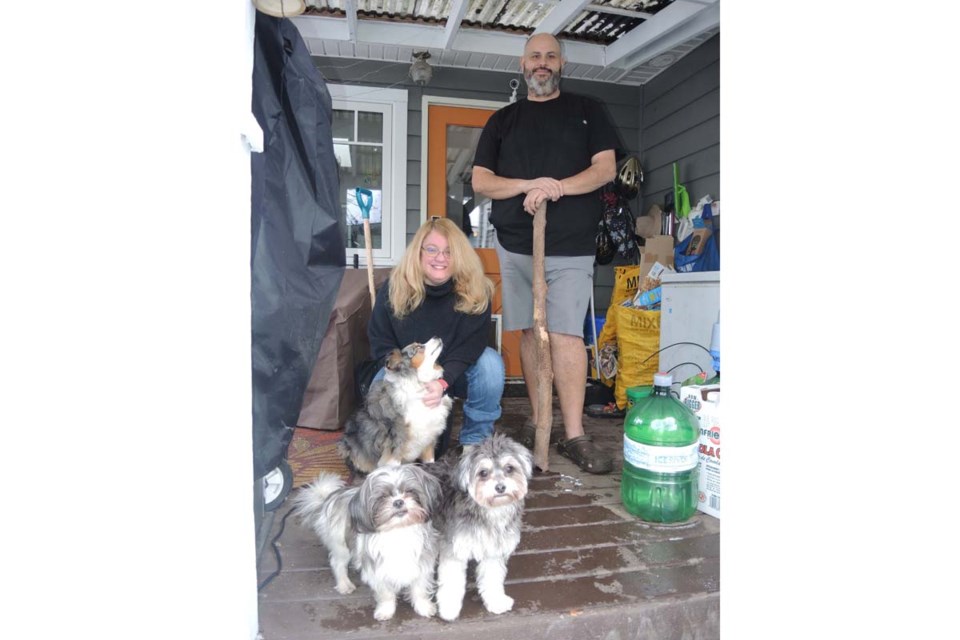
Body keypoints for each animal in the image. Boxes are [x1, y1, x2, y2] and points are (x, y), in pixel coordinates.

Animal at [290, 464, 444, 620]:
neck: (398, 530)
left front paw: (424, 607)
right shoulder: (377, 569)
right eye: (383, 497)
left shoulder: (422, 565)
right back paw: (344, 584)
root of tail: (331, 497)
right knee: (337, 563)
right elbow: (386, 594)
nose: (398, 502)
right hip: (341, 546)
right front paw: (385, 611)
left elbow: (419, 589)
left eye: (409, 491)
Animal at [430, 432, 536, 624]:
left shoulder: (493, 551)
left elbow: (492, 578)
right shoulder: (454, 551)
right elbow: (451, 582)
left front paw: (496, 601)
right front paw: (449, 609)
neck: (489, 511)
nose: (500, 487)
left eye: (509, 468)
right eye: (483, 473)